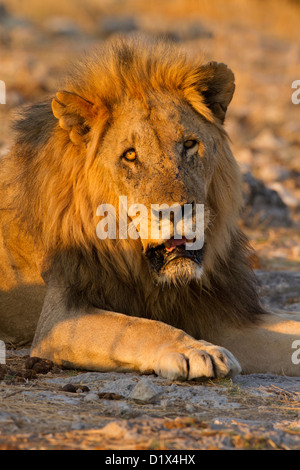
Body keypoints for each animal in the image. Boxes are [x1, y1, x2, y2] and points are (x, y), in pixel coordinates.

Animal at [0, 37, 300, 382]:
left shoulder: (221, 316)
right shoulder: (59, 318)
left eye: (189, 144)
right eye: (130, 155)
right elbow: (138, 327)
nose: (175, 213)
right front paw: (195, 351)